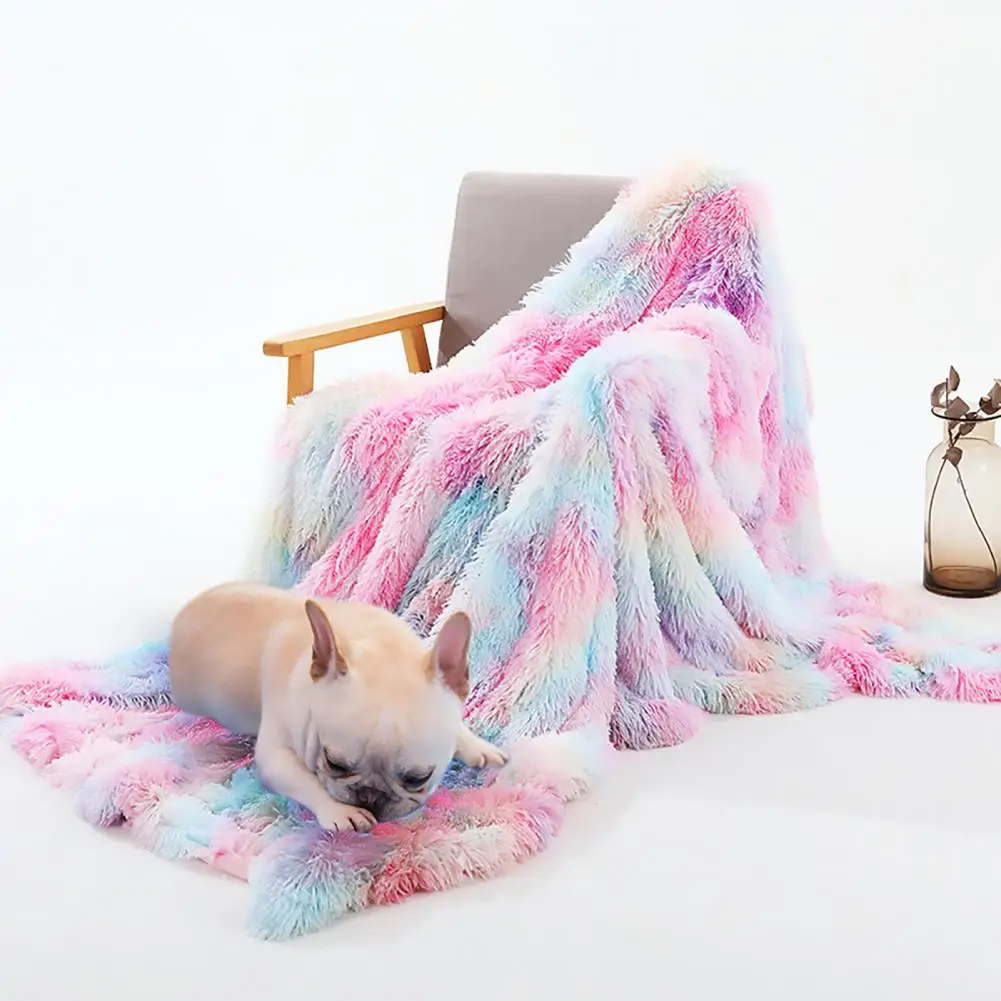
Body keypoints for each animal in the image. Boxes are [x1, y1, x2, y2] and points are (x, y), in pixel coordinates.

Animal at [168, 582, 507, 832]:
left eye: (417, 778)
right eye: (334, 763)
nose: (370, 797)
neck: (379, 642)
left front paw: (476, 745)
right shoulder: (275, 757)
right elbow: (305, 780)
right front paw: (341, 810)